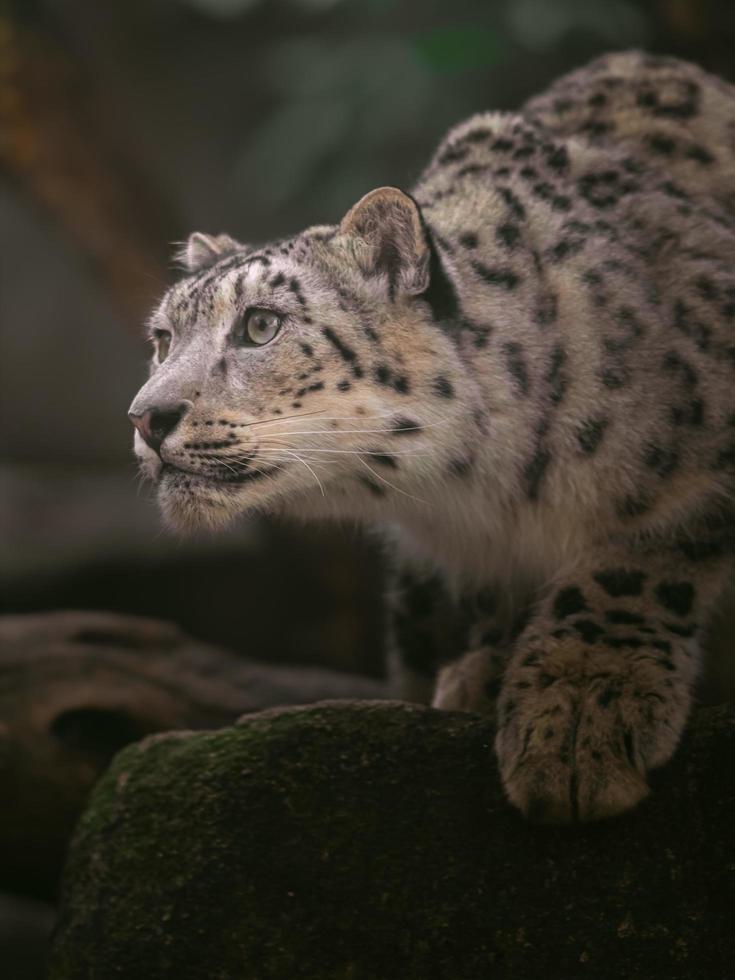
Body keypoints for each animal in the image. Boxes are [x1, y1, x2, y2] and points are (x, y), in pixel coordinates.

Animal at [129, 49, 735, 824]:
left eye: (261, 324)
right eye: (162, 339)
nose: (146, 417)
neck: (484, 495)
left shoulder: (695, 480)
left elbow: (639, 558)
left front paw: (578, 708)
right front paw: (492, 675)